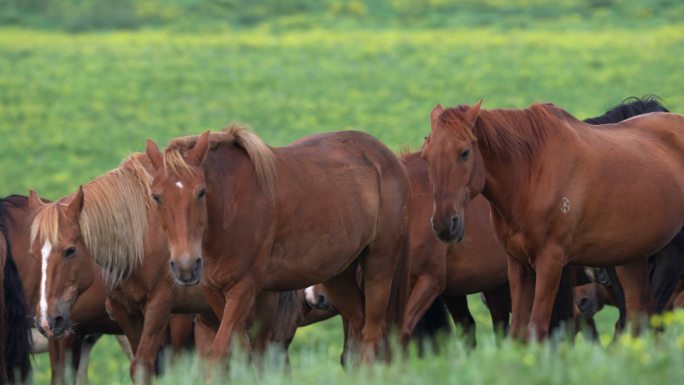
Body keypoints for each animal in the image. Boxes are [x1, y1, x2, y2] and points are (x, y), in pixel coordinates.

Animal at [422, 100, 684, 340]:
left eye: (464, 152)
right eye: (426, 157)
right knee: (640, 315)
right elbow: (518, 333)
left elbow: (538, 328)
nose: (445, 224)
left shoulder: (551, 261)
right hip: (630, 258)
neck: (531, 173)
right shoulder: (518, 264)